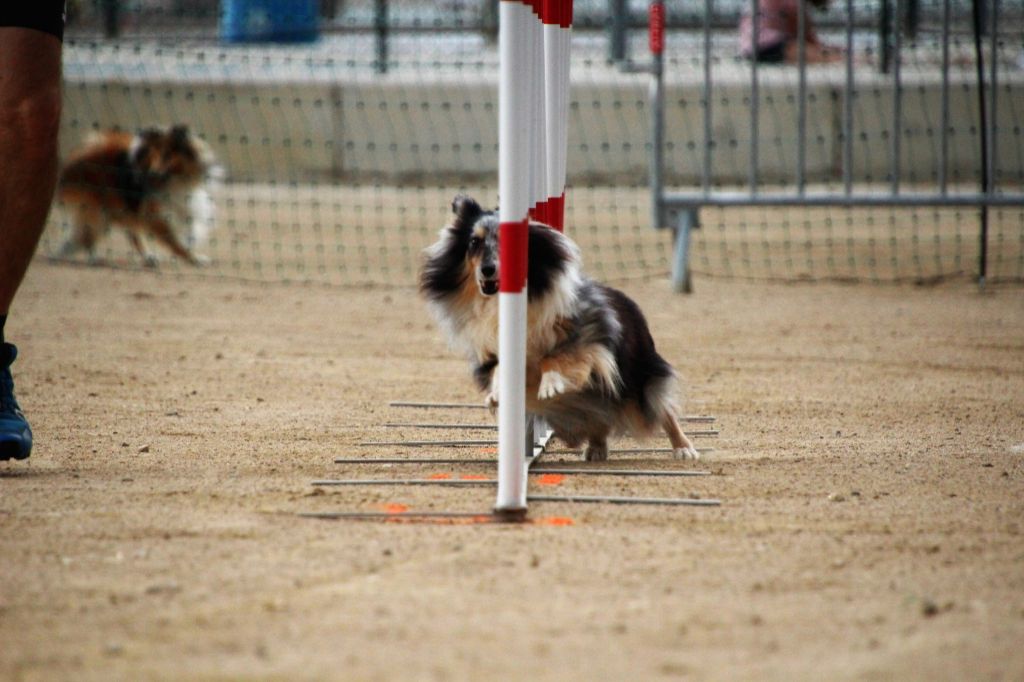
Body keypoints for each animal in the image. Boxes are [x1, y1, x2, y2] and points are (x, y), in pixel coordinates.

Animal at [56, 124, 218, 266]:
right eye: (151, 156)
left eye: (166, 155)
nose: (152, 174)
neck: (172, 180)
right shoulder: (154, 214)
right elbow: (174, 240)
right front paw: (194, 258)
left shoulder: (183, 202)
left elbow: (191, 227)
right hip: (99, 208)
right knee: (90, 236)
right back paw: (93, 258)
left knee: (129, 233)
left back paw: (149, 258)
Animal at [419, 196, 700, 462]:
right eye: (473, 242)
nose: (487, 270)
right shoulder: (490, 350)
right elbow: (499, 369)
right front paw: (496, 394)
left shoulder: (589, 334)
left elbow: (558, 356)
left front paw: (551, 384)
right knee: (599, 418)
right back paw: (596, 448)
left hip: (638, 380)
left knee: (662, 408)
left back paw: (684, 448)